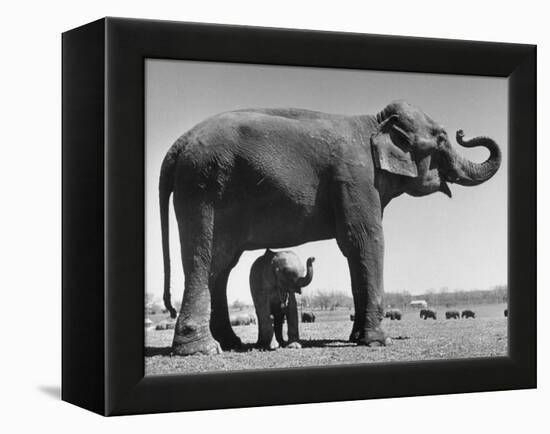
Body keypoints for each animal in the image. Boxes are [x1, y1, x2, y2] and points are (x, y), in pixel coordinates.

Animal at [161, 100, 504, 354]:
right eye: (441, 139)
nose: (462, 131)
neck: (374, 122)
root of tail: (177, 145)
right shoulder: (355, 178)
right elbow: (366, 240)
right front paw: (378, 342)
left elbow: (353, 249)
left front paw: (357, 338)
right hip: (202, 188)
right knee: (203, 259)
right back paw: (203, 350)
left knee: (221, 265)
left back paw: (230, 343)